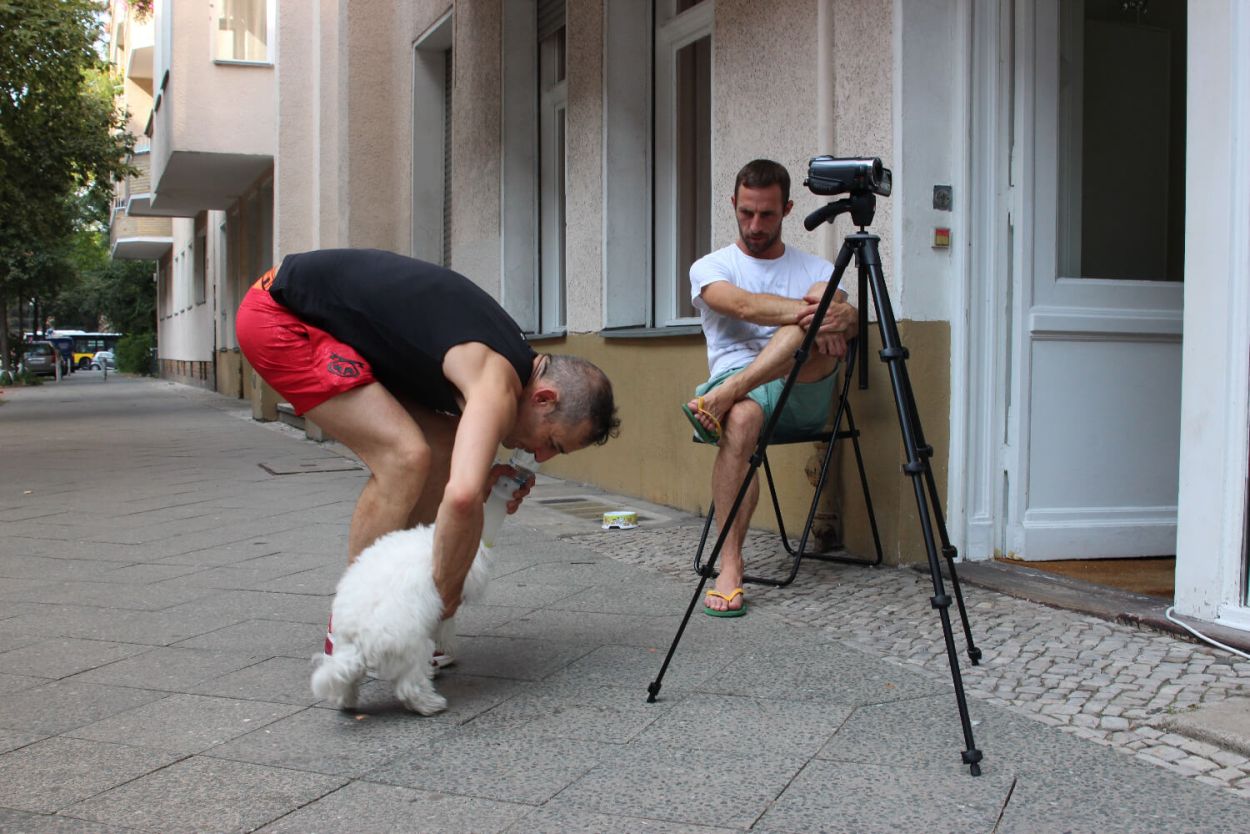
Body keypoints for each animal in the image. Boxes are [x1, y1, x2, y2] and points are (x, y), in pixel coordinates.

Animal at [310, 525, 491, 715]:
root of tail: (358, 635)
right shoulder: (443, 601)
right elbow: (445, 627)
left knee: (345, 681)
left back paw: (346, 701)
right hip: (412, 653)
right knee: (411, 686)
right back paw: (431, 704)